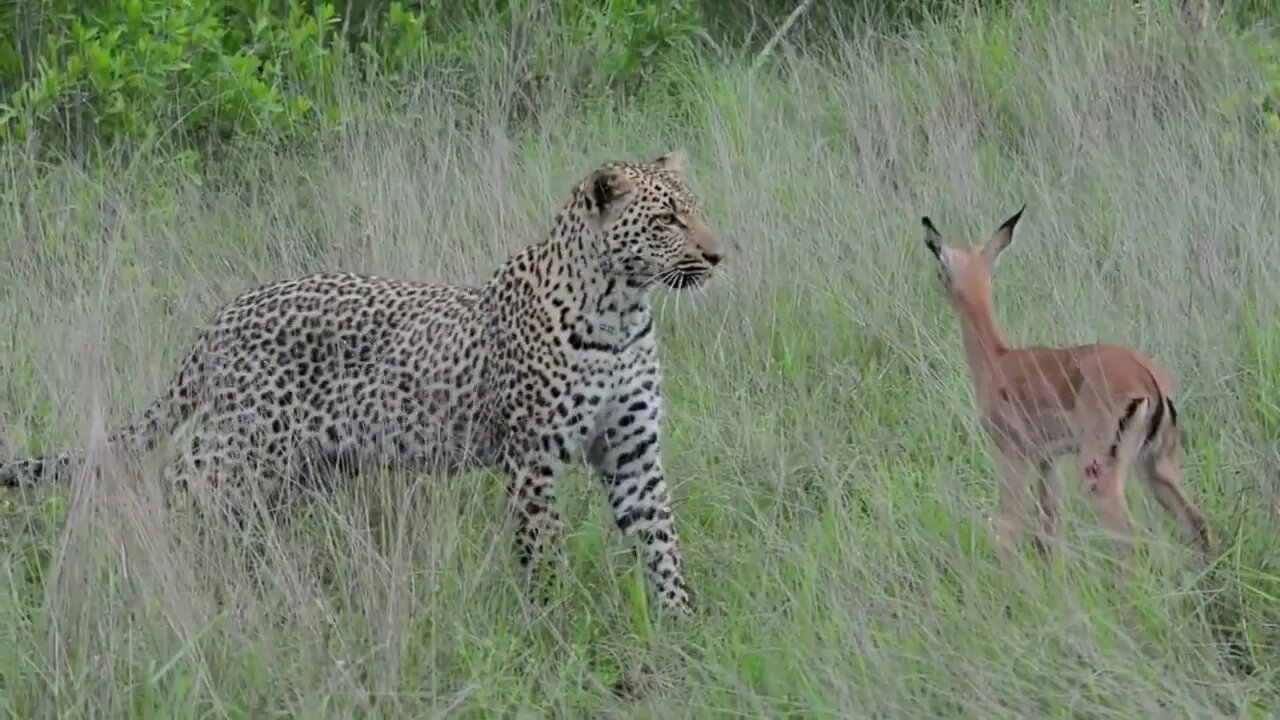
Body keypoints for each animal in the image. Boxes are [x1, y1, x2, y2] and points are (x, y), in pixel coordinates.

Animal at [0, 149, 721, 609]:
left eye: (697, 210)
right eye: (666, 220)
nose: (717, 254)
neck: (621, 312)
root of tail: (223, 317)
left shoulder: (632, 453)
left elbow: (661, 542)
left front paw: (679, 624)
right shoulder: (532, 460)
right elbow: (542, 550)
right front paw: (555, 624)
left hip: (296, 469)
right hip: (246, 446)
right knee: (171, 482)